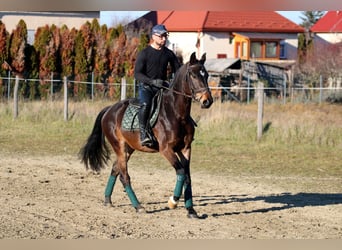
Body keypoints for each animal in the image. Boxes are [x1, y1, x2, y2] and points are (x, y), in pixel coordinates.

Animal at [80, 51, 214, 218]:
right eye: (193, 75)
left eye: (206, 75)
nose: (207, 101)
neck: (176, 113)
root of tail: (109, 109)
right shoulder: (166, 150)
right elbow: (181, 173)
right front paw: (173, 201)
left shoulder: (185, 148)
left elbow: (187, 177)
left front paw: (191, 210)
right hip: (119, 147)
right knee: (124, 176)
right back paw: (138, 206)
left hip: (129, 149)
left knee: (115, 169)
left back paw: (107, 200)